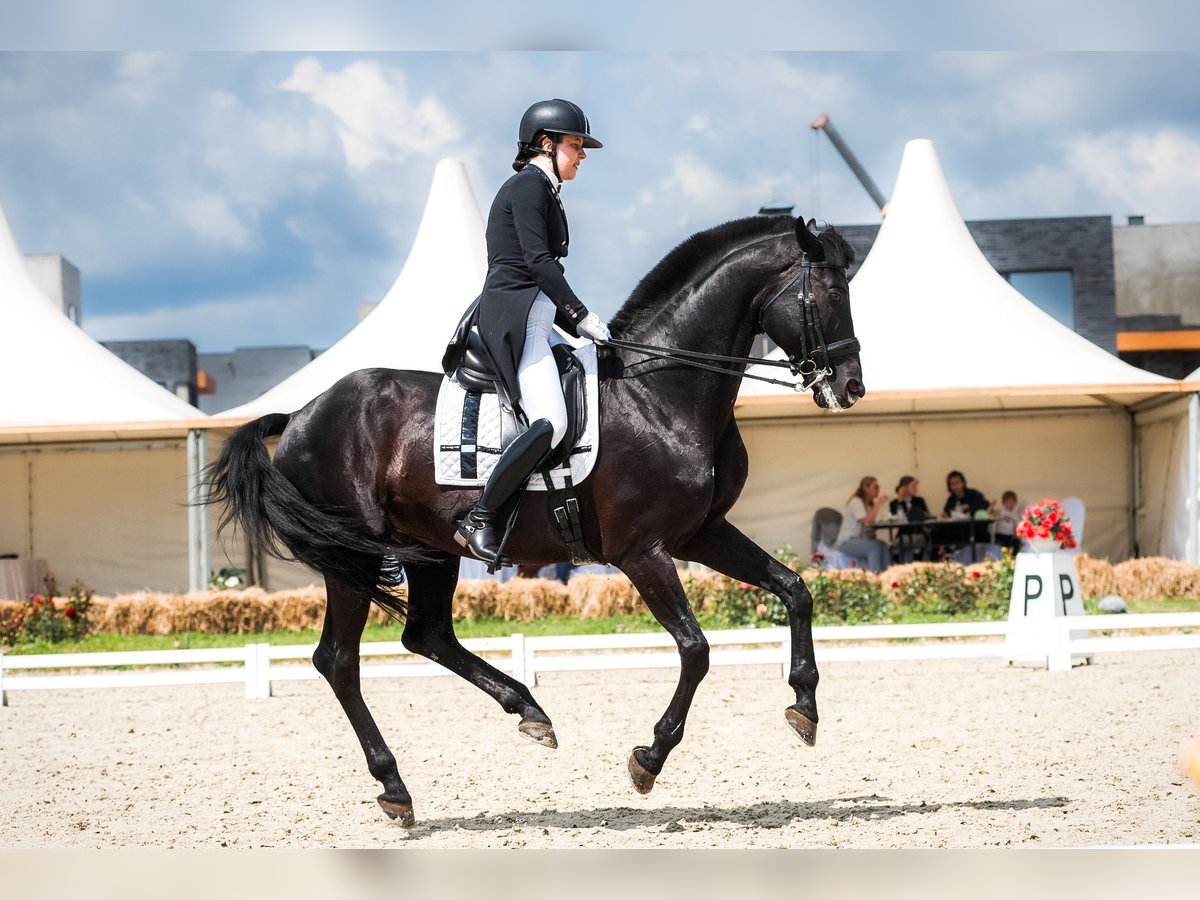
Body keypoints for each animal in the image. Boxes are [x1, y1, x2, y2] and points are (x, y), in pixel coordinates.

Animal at [208, 214, 864, 830]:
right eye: (833, 292)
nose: (851, 386)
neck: (661, 395)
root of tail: (300, 414)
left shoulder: (702, 534)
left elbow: (795, 589)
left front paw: (804, 706)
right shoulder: (642, 551)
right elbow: (696, 649)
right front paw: (649, 758)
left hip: (432, 550)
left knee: (426, 635)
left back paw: (529, 712)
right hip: (355, 556)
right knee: (340, 661)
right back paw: (395, 787)